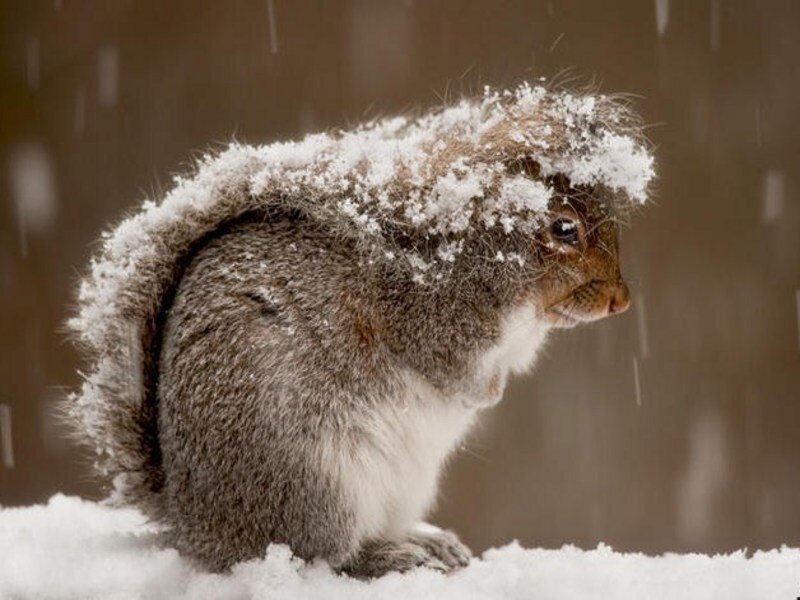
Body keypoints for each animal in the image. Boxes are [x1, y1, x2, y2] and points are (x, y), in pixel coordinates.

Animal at [65, 83, 654, 577]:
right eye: (564, 228)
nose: (621, 300)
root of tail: (196, 526)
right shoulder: (429, 320)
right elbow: (450, 370)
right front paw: (484, 393)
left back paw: (426, 541)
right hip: (316, 482)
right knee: (326, 555)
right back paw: (389, 556)